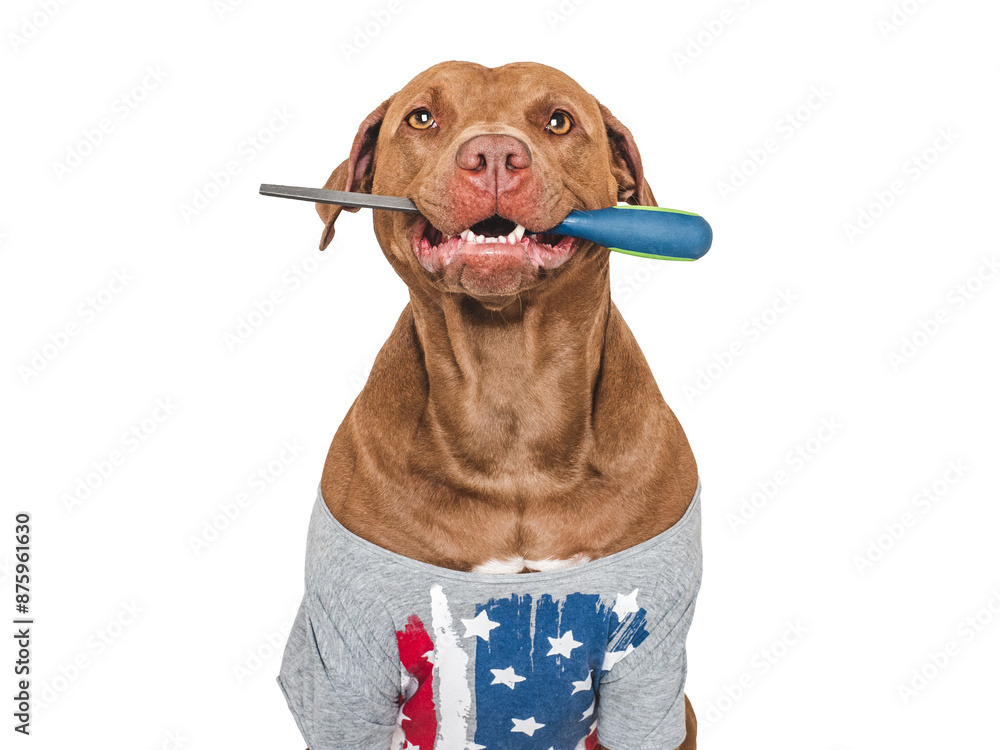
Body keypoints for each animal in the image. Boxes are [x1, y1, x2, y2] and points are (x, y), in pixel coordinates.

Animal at [300, 60, 700, 750]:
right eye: (423, 117)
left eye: (558, 121)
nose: (492, 154)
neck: (509, 392)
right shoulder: (349, 667)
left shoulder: (649, 664)